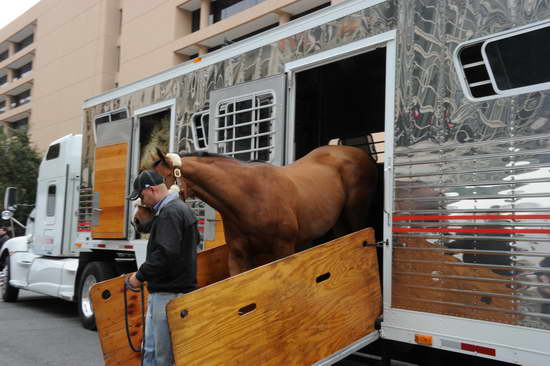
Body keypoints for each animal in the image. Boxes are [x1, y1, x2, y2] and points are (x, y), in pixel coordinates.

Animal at [153, 145, 378, 274]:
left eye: (159, 180)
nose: (144, 218)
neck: (248, 198)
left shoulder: (283, 249)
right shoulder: (239, 256)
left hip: (355, 213)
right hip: (339, 220)